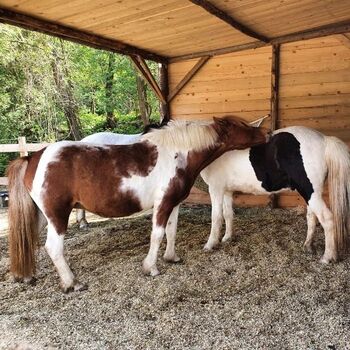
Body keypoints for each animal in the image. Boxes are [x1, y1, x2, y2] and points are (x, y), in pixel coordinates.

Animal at [6, 116, 268, 292]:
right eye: (242, 125)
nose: (265, 134)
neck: (176, 154)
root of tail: (33, 157)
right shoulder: (163, 204)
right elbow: (157, 235)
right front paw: (151, 267)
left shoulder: (173, 203)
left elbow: (171, 232)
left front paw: (171, 257)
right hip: (57, 215)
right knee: (53, 247)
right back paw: (72, 283)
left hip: (41, 215)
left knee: (29, 238)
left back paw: (27, 276)